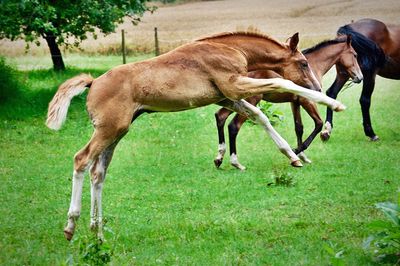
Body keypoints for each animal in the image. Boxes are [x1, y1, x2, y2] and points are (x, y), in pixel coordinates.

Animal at [45, 31, 344, 241]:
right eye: (303, 63)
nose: (317, 85)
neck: (231, 49)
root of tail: (93, 82)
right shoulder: (234, 86)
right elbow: (281, 82)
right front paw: (335, 104)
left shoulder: (227, 96)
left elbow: (258, 116)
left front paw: (293, 156)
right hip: (108, 130)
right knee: (81, 160)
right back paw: (71, 226)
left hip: (117, 132)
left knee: (98, 174)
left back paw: (97, 232)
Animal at [214, 34, 364, 169]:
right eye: (355, 55)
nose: (360, 77)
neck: (314, 65)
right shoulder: (307, 101)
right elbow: (318, 123)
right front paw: (297, 151)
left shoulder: (295, 102)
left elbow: (299, 127)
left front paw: (302, 156)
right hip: (252, 100)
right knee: (234, 126)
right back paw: (234, 162)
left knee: (220, 116)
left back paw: (219, 159)